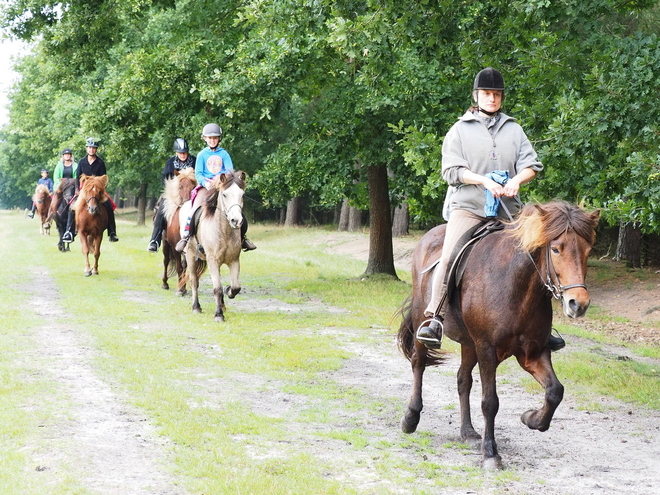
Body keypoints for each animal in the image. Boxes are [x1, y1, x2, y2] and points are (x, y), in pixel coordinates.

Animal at [179, 170, 246, 324]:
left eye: (242, 194)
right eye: (224, 194)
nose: (236, 221)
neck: (224, 230)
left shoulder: (234, 260)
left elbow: (235, 287)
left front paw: (228, 292)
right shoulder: (212, 261)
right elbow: (217, 288)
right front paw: (218, 315)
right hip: (190, 255)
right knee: (194, 281)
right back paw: (196, 307)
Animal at [398, 201, 600, 468]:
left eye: (588, 250)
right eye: (556, 249)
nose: (579, 304)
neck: (516, 285)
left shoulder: (533, 353)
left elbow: (555, 391)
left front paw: (532, 418)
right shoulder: (487, 349)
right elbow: (490, 402)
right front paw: (490, 453)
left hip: (468, 344)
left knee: (463, 379)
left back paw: (468, 433)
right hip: (424, 321)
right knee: (418, 364)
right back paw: (410, 418)